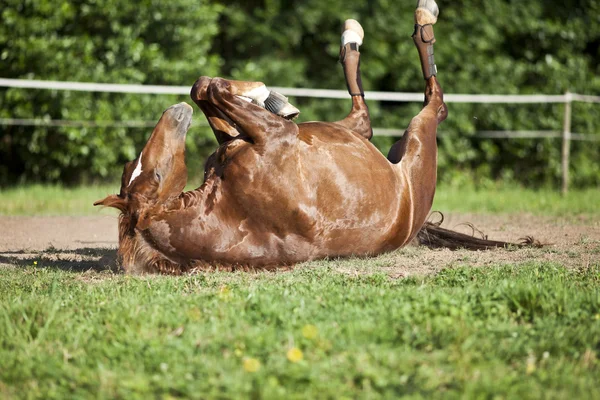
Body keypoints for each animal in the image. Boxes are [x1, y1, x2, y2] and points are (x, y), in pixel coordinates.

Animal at [92, 0, 524, 274]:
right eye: (153, 174)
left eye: (136, 167)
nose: (174, 113)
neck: (229, 209)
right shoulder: (276, 136)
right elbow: (212, 88)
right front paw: (267, 95)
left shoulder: (234, 142)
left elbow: (204, 88)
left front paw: (269, 97)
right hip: (417, 140)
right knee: (430, 102)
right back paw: (414, 20)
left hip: (349, 132)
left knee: (364, 115)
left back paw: (348, 39)